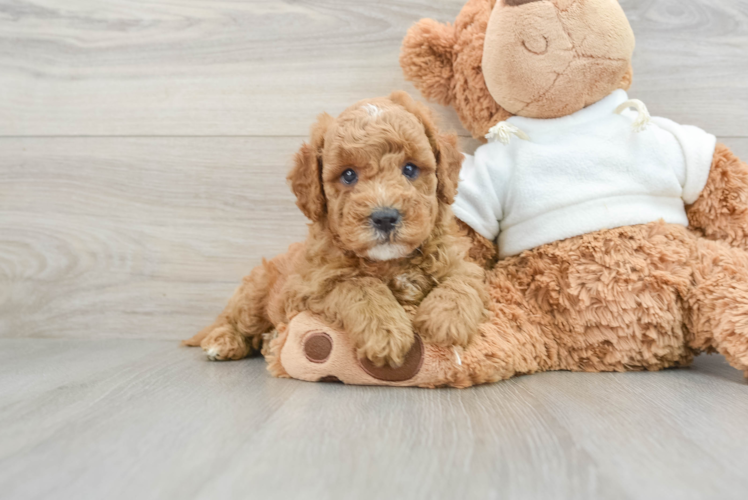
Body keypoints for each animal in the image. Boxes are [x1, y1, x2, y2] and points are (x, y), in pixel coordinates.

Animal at [185, 91, 490, 368]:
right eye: (348, 175)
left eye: (410, 169)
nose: (385, 218)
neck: (390, 262)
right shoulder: (311, 286)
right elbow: (360, 285)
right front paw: (386, 332)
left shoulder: (461, 262)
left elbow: (464, 281)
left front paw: (445, 320)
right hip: (254, 293)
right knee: (236, 321)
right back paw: (222, 341)